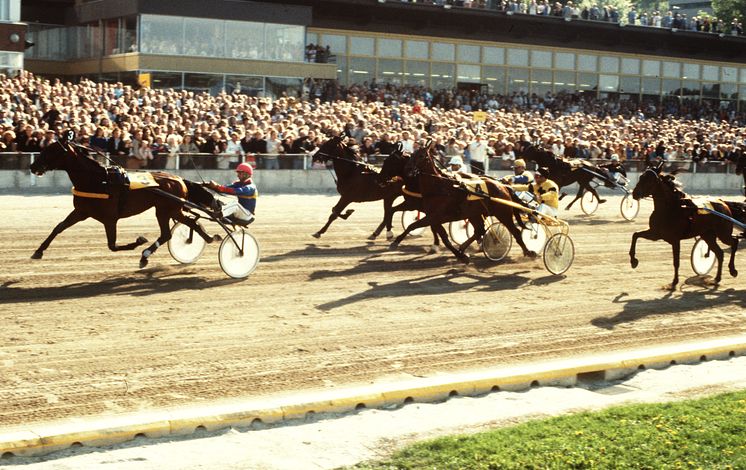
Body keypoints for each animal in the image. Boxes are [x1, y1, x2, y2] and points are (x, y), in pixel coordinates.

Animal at [29, 135, 221, 268]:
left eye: (51, 151)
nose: (32, 166)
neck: (99, 181)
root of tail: (179, 179)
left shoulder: (110, 219)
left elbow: (112, 246)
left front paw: (139, 241)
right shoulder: (81, 212)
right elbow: (59, 227)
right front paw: (38, 251)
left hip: (166, 210)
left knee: (172, 231)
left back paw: (146, 253)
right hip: (169, 210)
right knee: (184, 226)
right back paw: (208, 238)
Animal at [386, 140, 532, 264]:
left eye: (421, 155)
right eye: (412, 155)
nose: (408, 170)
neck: (440, 188)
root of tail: (503, 186)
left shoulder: (435, 216)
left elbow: (413, 225)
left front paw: (395, 241)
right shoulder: (433, 217)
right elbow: (443, 237)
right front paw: (461, 255)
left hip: (503, 213)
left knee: (515, 231)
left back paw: (528, 252)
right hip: (474, 214)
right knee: (479, 230)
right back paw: (463, 248)